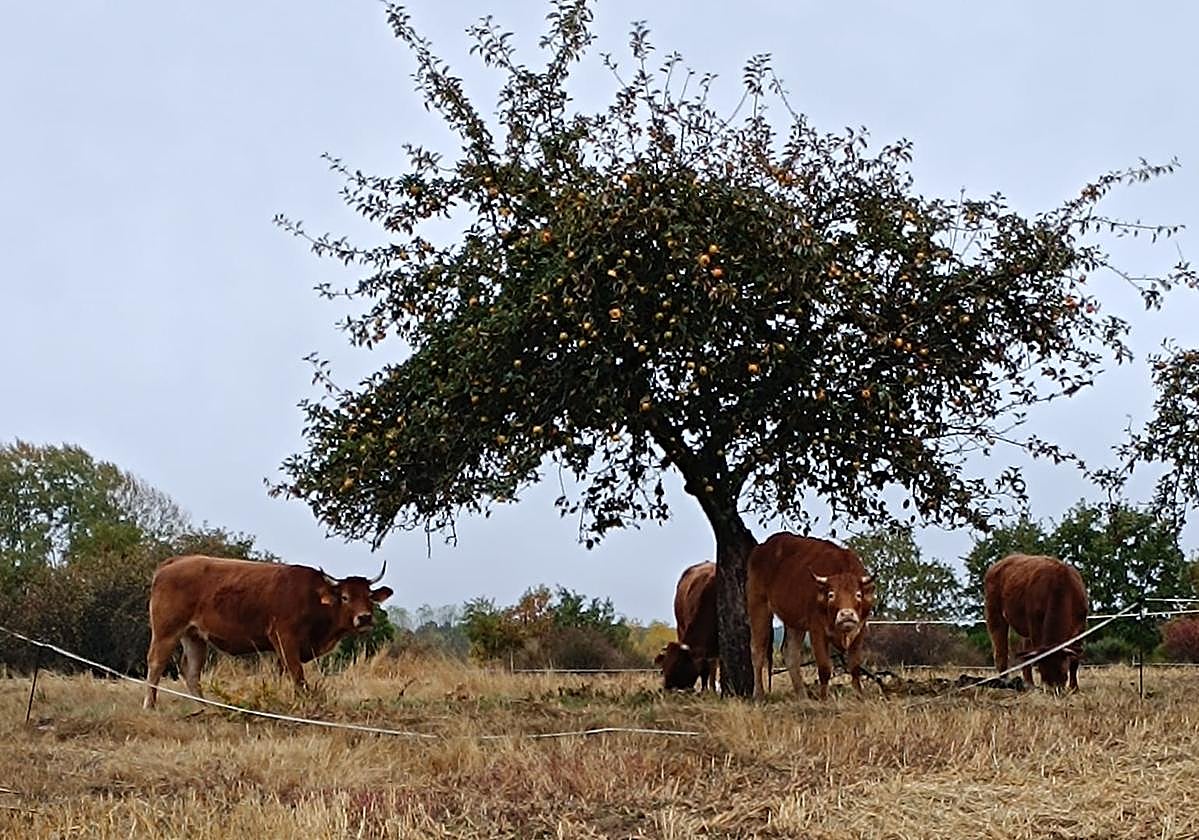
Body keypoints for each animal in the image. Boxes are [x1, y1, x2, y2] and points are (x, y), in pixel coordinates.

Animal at [143, 555, 393, 709]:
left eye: (369, 597)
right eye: (345, 597)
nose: (364, 617)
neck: (313, 598)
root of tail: (176, 561)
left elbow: (283, 674)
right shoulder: (285, 638)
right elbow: (297, 676)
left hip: (194, 636)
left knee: (192, 672)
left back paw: (204, 708)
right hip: (166, 631)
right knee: (156, 663)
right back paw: (150, 705)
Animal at [747, 533, 875, 700]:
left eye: (858, 594)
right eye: (831, 595)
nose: (846, 614)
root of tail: (763, 547)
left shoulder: (860, 630)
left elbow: (854, 666)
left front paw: (860, 696)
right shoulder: (817, 630)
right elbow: (825, 668)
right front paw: (824, 699)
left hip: (794, 622)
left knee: (790, 653)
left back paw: (802, 696)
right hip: (758, 604)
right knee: (758, 651)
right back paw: (759, 695)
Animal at [984, 553, 1088, 691]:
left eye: (1062, 671)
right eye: (1043, 670)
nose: (1054, 689)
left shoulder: (1081, 627)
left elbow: (1075, 660)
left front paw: (1074, 688)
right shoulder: (1035, 625)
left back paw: (1029, 683)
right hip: (994, 615)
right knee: (1001, 652)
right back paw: (1005, 681)